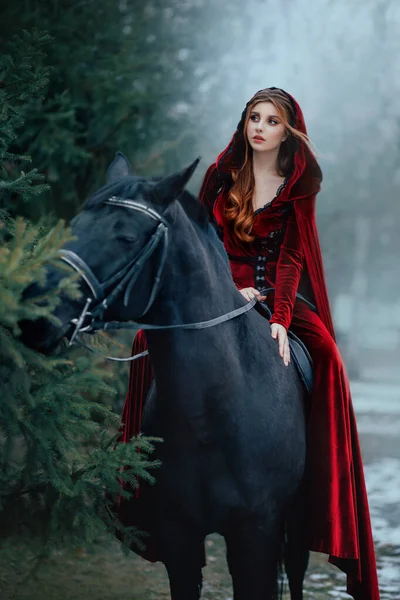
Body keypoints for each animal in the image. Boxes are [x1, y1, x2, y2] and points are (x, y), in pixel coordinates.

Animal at [21, 154, 310, 600]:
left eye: (125, 237)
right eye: (75, 225)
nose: (36, 312)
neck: (214, 412)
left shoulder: (255, 534)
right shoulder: (179, 537)